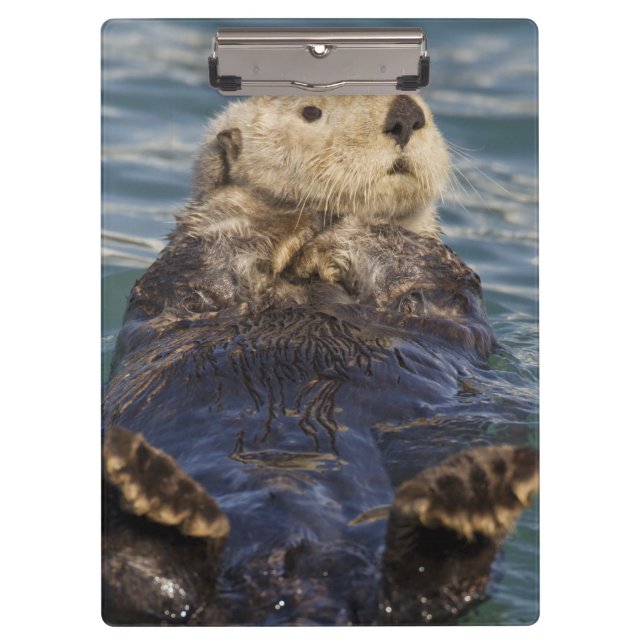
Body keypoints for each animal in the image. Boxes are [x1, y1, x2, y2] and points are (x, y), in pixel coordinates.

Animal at [102, 94, 538, 625]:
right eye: (312, 111)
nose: (406, 114)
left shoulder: (439, 286)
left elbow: (410, 262)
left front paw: (342, 229)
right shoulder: (185, 277)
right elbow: (210, 258)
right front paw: (286, 219)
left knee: (424, 594)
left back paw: (465, 505)